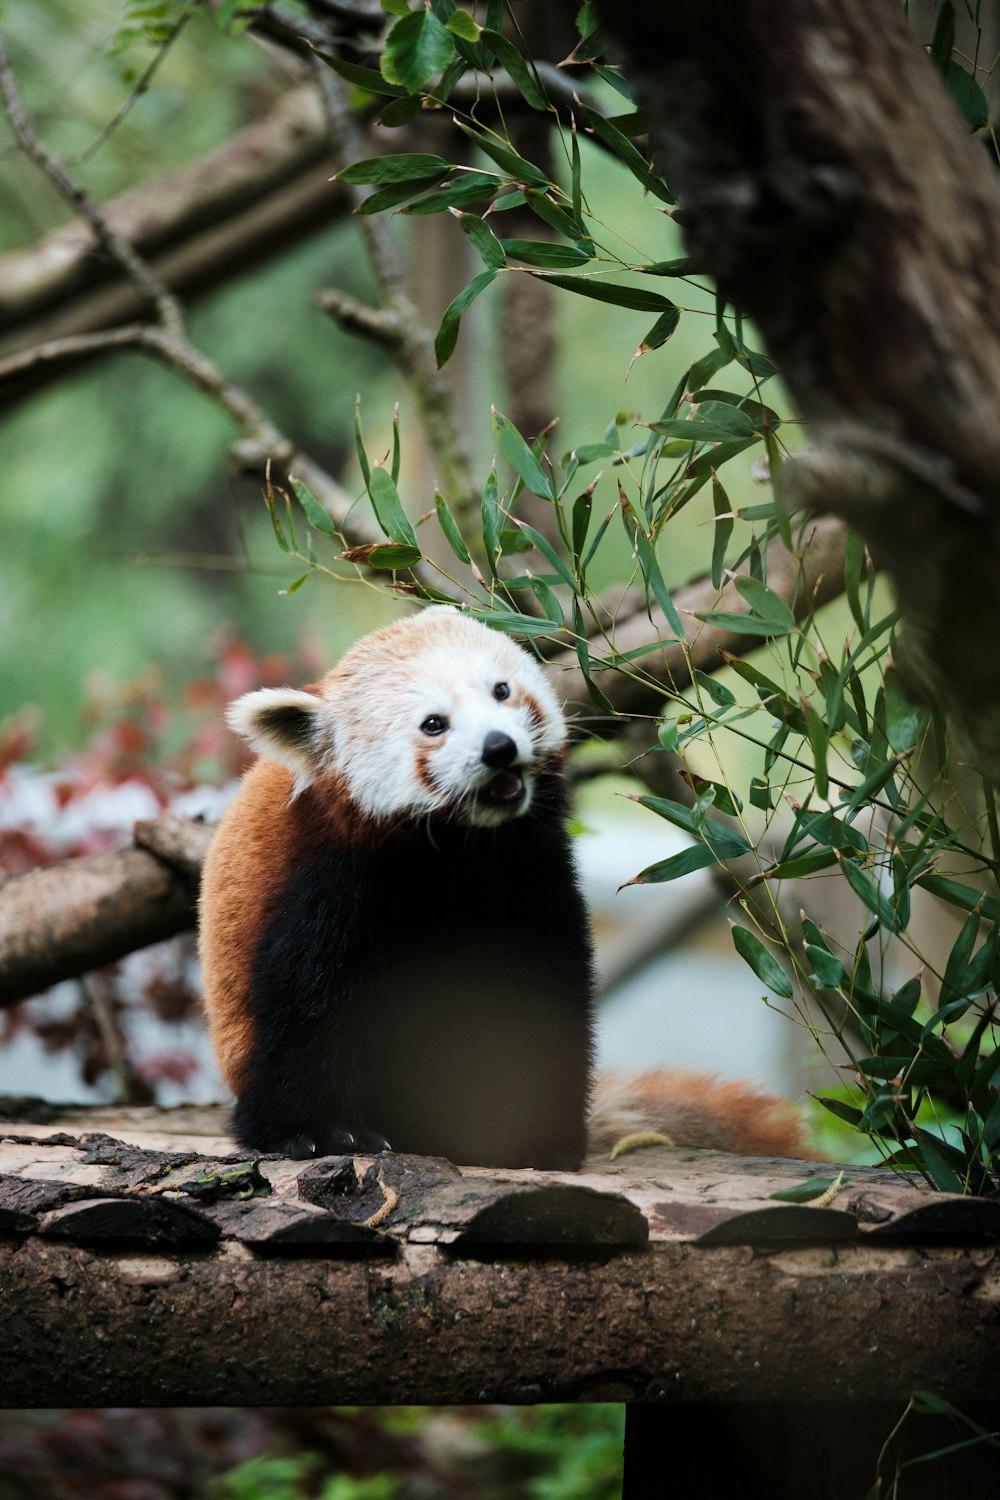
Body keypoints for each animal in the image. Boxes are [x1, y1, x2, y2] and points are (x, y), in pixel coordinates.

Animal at [197, 603, 815, 1164]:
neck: (463, 849)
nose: (499, 747)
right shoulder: (332, 879)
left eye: (501, 691)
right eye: (434, 724)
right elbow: (308, 1004)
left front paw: (539, 1134)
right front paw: (319, 1131)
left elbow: (546, 989)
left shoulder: (530, 868)